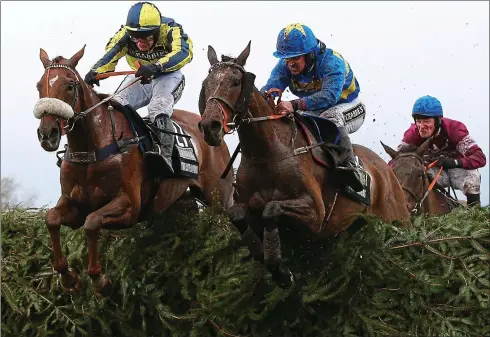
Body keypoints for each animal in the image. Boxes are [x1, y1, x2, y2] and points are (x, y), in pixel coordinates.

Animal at [33, 46, 234, 296]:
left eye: (70, 85)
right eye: (39, 86)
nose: (47, 134)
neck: (93, 147)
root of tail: (207, 127)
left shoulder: (129, 206)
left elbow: (92, 222)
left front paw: (100, 281)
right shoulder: (74, 203)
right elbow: (52, 219)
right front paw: (69, 278)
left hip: (219, 197)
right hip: (181, 202)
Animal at [197, 42, 412, 288]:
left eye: (235, 82)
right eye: (206, 84)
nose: (209, 127)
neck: (268, 152)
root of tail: (387, 170)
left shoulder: (315, 212)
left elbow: (272, 209)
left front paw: (279, 269)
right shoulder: (248, 206)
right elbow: (237, 215)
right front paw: (269, 259)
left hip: (396, 218)